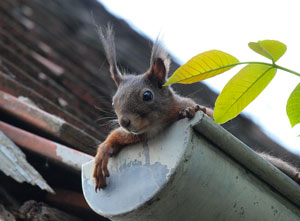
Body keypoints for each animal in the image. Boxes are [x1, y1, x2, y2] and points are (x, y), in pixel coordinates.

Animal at [92, 25, 298, 191]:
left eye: (147, 95)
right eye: (113, 101)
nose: (124, 122)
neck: (156, 125)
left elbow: (210, 117)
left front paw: (191, 112)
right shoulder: (138, 135)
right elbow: (116, 137)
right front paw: (102, 153)